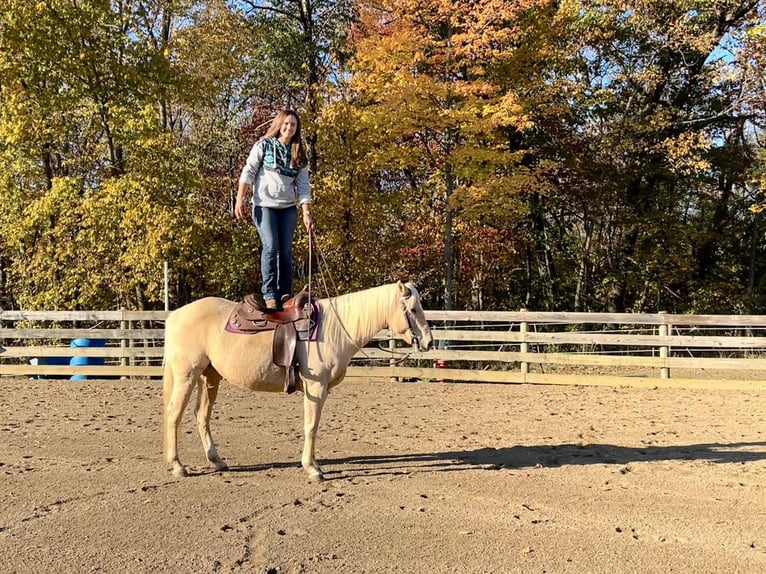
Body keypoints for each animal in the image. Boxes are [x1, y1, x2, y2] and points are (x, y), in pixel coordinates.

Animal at [163, 282, 436, 484]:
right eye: (412, 309)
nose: (429, 342)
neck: (335, 328)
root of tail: (175, 315)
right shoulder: (316, 387)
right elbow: (311, 426)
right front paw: (312, 469)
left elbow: (313, 426)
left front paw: (314, 464)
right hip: (187, 375)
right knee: (174, 415)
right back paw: (177, 466)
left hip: (209, 377)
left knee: (201, 415)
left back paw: (217, 461)